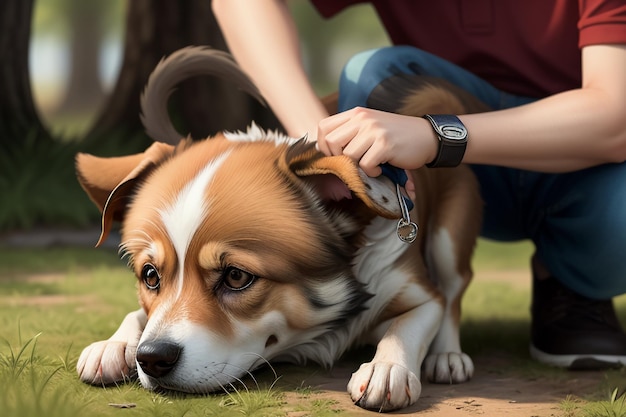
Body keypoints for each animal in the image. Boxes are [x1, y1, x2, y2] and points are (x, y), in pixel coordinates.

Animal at [74, 45, 482, 410]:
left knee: (454, 287)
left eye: (237, 276)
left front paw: (387, 368)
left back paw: (447, 356)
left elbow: (412, 322)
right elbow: (139, 314)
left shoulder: (419, 292)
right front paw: (114, 345)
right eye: (150, 276)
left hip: (447, 237)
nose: (153, 358)